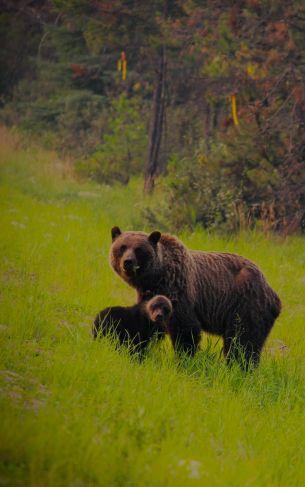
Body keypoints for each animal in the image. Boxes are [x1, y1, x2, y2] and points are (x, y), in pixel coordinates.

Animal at [109, 227, 280, 368]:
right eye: (122, 247)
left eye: (139, 249)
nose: (128, 262)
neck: (156, 277)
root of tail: (272, 293)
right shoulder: (150, 298)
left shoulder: (179, 290)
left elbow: (185, 329)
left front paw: (183, 360)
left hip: (246, 305)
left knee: (243, 341)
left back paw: (239, 368)